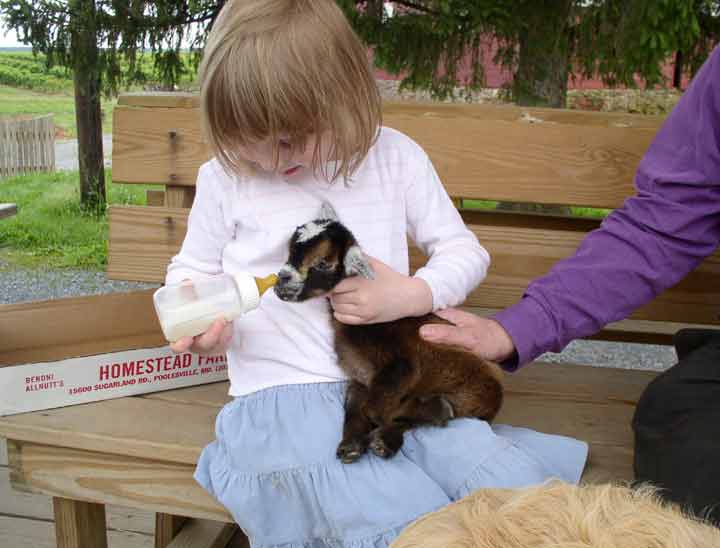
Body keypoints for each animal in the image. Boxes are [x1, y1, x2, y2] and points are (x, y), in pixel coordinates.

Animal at [272, 203, 504, 464]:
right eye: (290, 249)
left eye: (323, 263)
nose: (281, 284)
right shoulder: (361, 378)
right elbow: (353, 408)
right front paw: (350, 446)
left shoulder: (400, 366)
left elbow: (374, 410)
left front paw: (370, 437)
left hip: (475, 391)